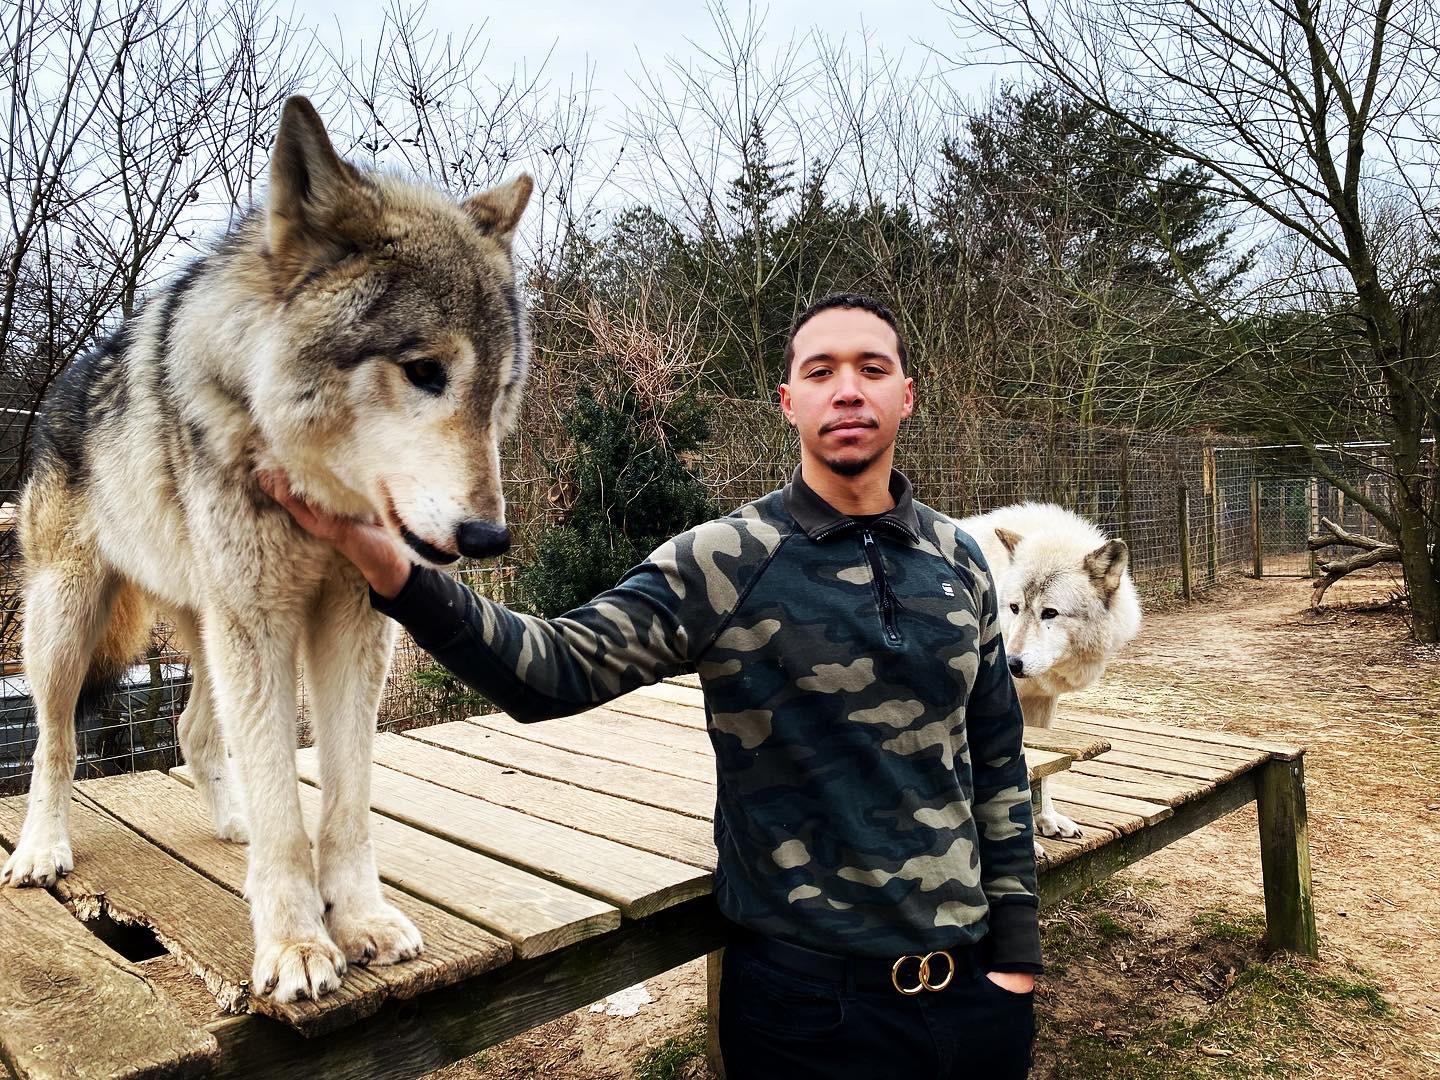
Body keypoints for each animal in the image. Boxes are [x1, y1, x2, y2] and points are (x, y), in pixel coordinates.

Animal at [0, 96, 533, 1003]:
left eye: (496, 392)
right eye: (424, 371)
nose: (488, 537)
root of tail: (67, 388)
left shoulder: (356, 622)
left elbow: (345, 800)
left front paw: (360, 920)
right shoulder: (263, 620)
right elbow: (289, 809)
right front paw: (295, 945)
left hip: (207, 628)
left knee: (191, 730)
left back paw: (231, 824)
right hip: (71, 625)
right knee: (55, 741)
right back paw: (43, 848)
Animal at [956, 503, 1142, 857]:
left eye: (1050, 613)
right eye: (1014, 607)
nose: (1011, 664)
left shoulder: (1041, 703)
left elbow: (1044, 772)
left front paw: (1048, 820)